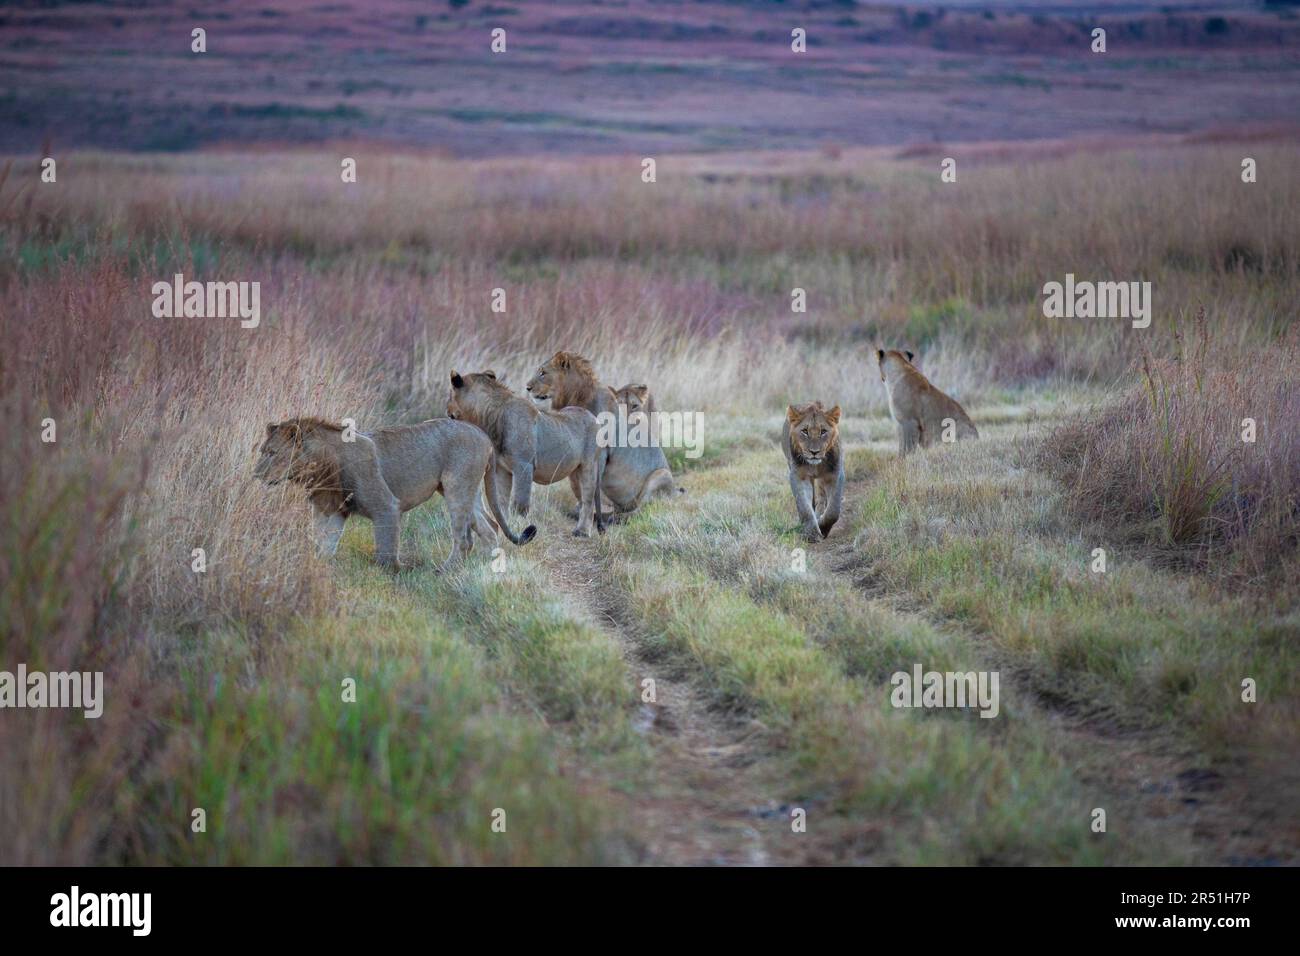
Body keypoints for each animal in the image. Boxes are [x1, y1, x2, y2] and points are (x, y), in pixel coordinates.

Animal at [250, 416, 535, 567]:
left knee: (465, 538)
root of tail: (482, 433)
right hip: (464, 491)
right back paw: (488, 567)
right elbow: (323, 542)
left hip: (457, 488)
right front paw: (321, 567)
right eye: (263, 451)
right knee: (490, 527)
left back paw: (447, 570)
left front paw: (389, 574)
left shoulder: (386, 507)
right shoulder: (330, 509)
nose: (255, 474)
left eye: (272, 453)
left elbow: (385, 550)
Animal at [444, 369, 605, 538]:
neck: (489, 416)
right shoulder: (502, 470)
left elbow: (519, 504)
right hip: (574, 473)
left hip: (588, 466)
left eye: (450, 395)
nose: (447, 410)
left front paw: (518, 527)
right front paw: (504, 529)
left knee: (588, 500)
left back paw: (582, 531)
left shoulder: (524, 466)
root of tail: (593, 417)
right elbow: (502, 502)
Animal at [780, 400, 842, 541]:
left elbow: (833, 510)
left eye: (823, 431)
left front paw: (823, 528)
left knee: (821, 499)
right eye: (805, 431)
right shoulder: (799, 476)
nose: (814, 452)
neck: (815, 465)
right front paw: (812, 534)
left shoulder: (834, 474)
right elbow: (805, 507)